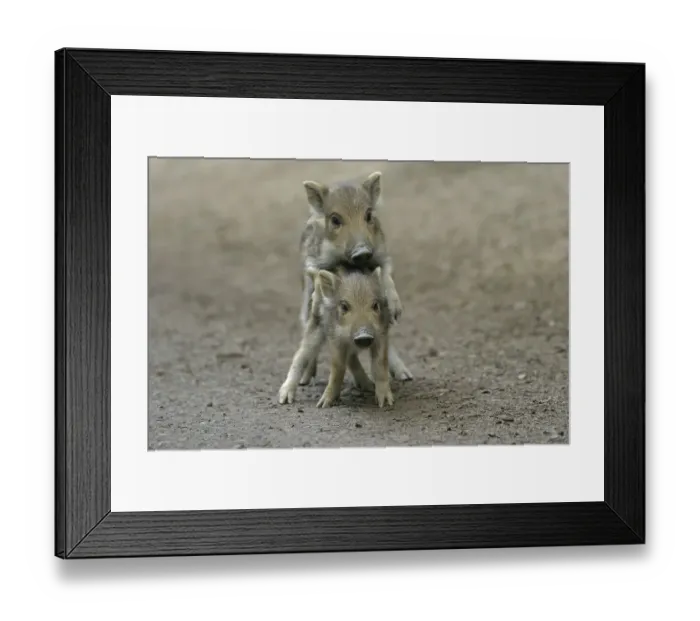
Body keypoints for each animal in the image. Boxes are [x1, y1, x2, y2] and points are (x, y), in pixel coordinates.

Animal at [278, 264, 395, 408]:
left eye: (375, 305)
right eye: (344, 306)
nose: (364, 335)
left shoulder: (381, 334)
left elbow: (380, 364)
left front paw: (386, 403)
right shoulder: (335, 337)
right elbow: (338, 368)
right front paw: (323, 404)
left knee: (351, 357)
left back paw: (368, 386)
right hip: (316, 325)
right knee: (301, 355)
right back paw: (285, 399)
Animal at [295, 170, 413, 387]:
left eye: (369, 215)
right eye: (335, 220)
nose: (362, 250)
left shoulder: (381, 253)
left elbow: (386, 273)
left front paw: (396, 311)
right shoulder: (312, 260)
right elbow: (316, 274)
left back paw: (405, 375)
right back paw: (305, 380)